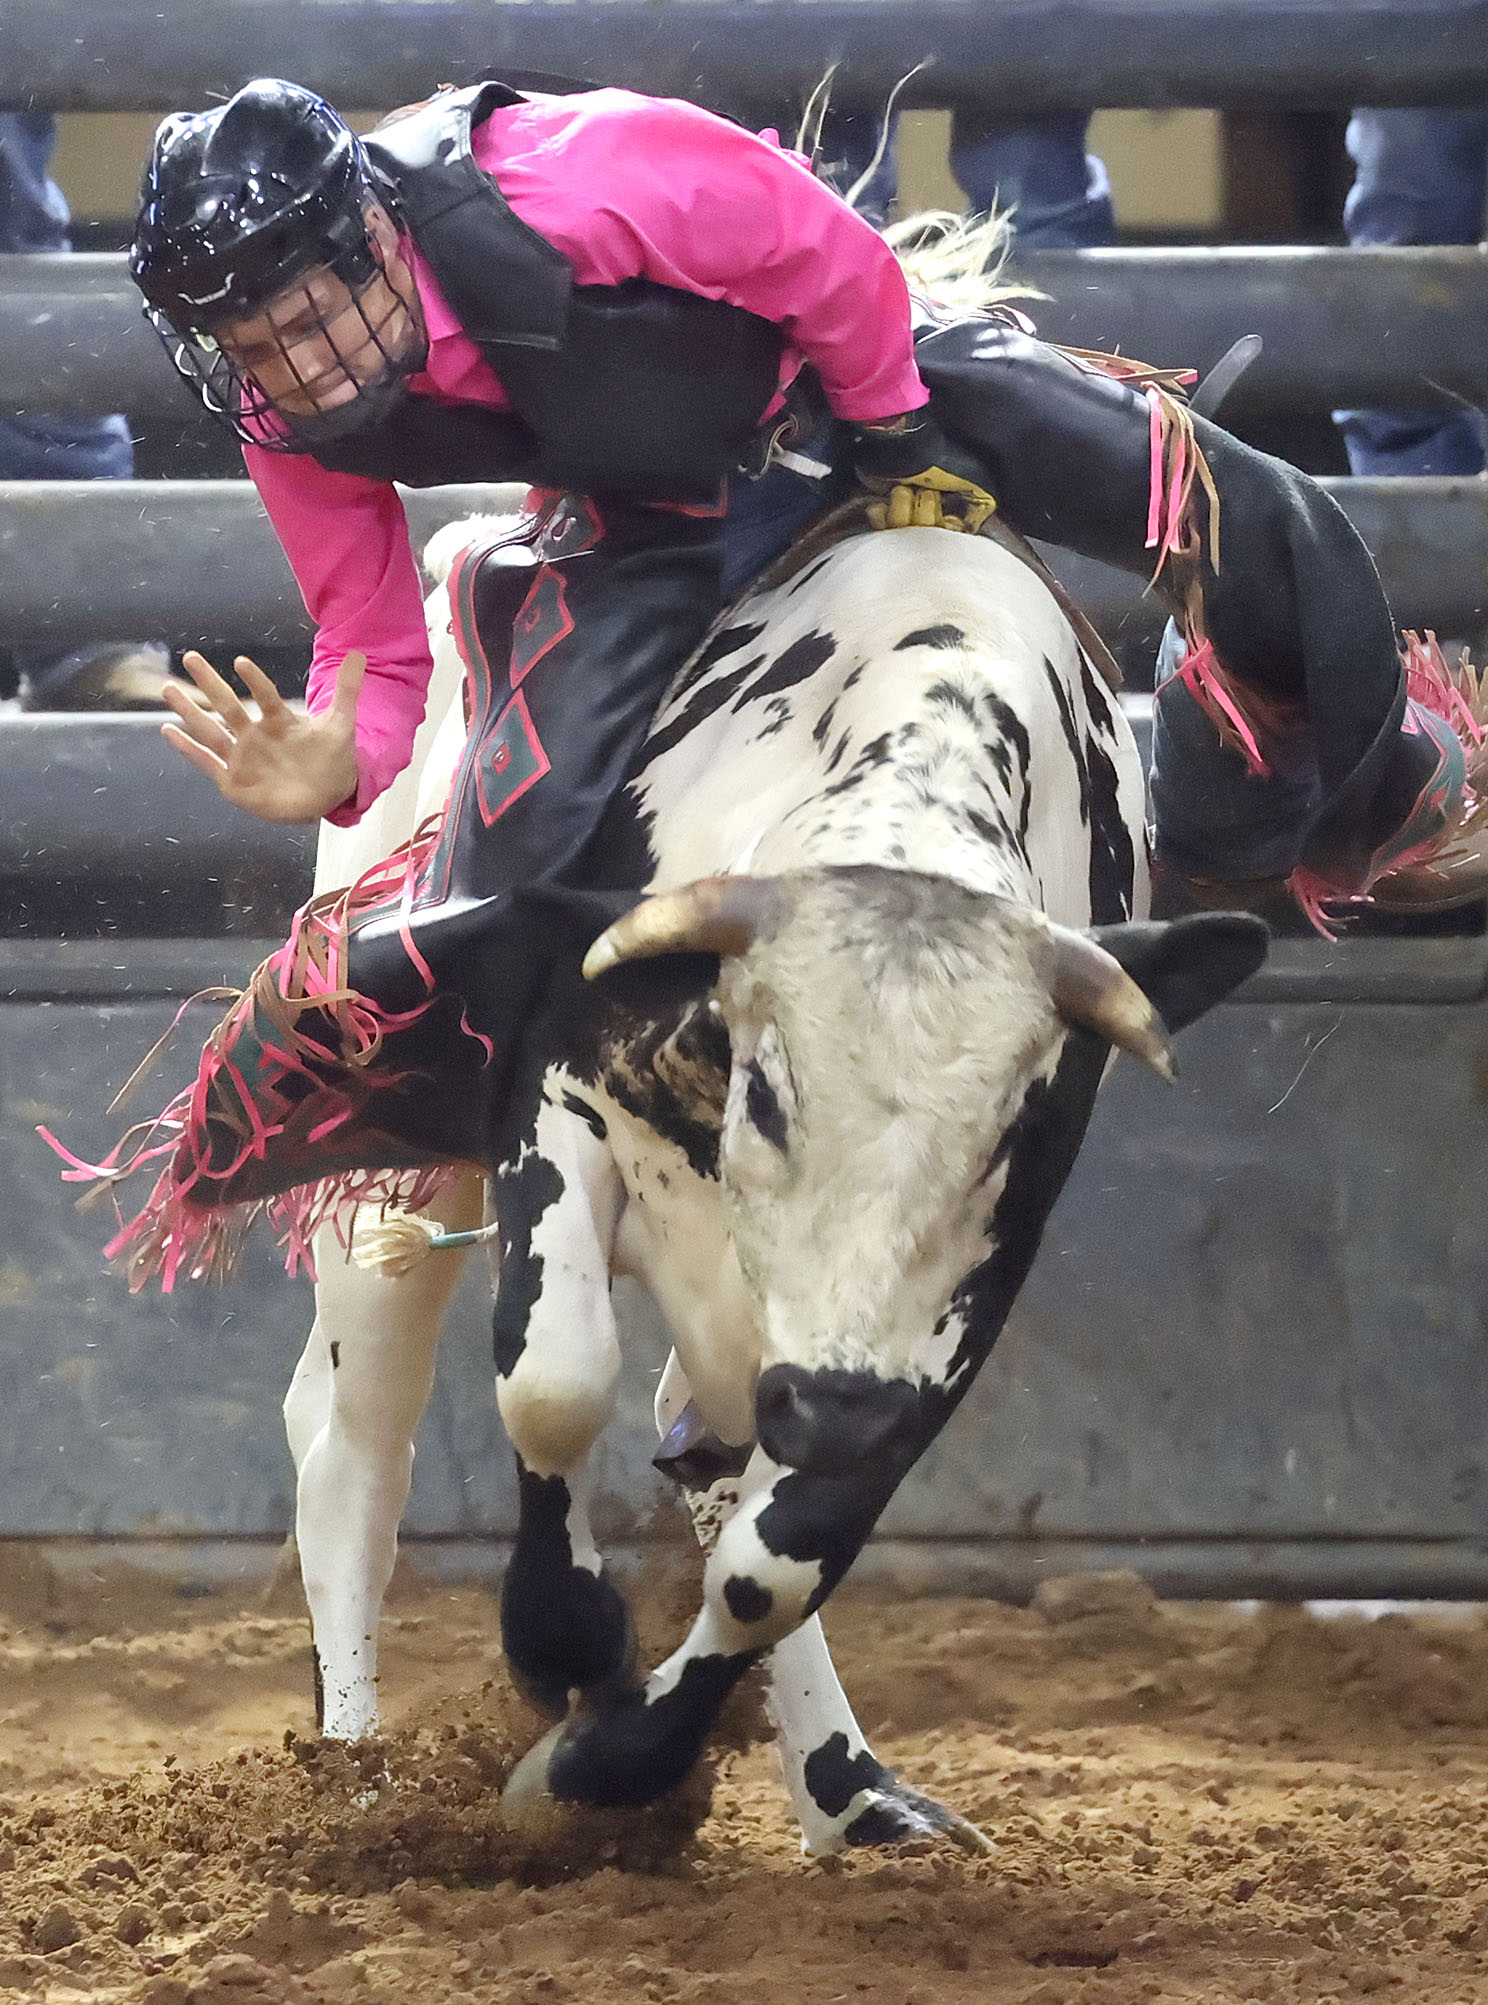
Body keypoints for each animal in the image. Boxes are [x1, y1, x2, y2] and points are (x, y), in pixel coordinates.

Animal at [283, 505, 1266, 1855]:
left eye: (1006, 1128)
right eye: (769, 1090)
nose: (837, 1405)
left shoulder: (964, 1294)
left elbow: (780, 1557)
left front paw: (614, 1757)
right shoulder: (555, 1099)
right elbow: (554, 1382)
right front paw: (564, 1645)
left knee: (707, 1467)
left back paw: (848, 1789)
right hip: (395, 1174)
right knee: (354, 1451)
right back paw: (355, 1769)